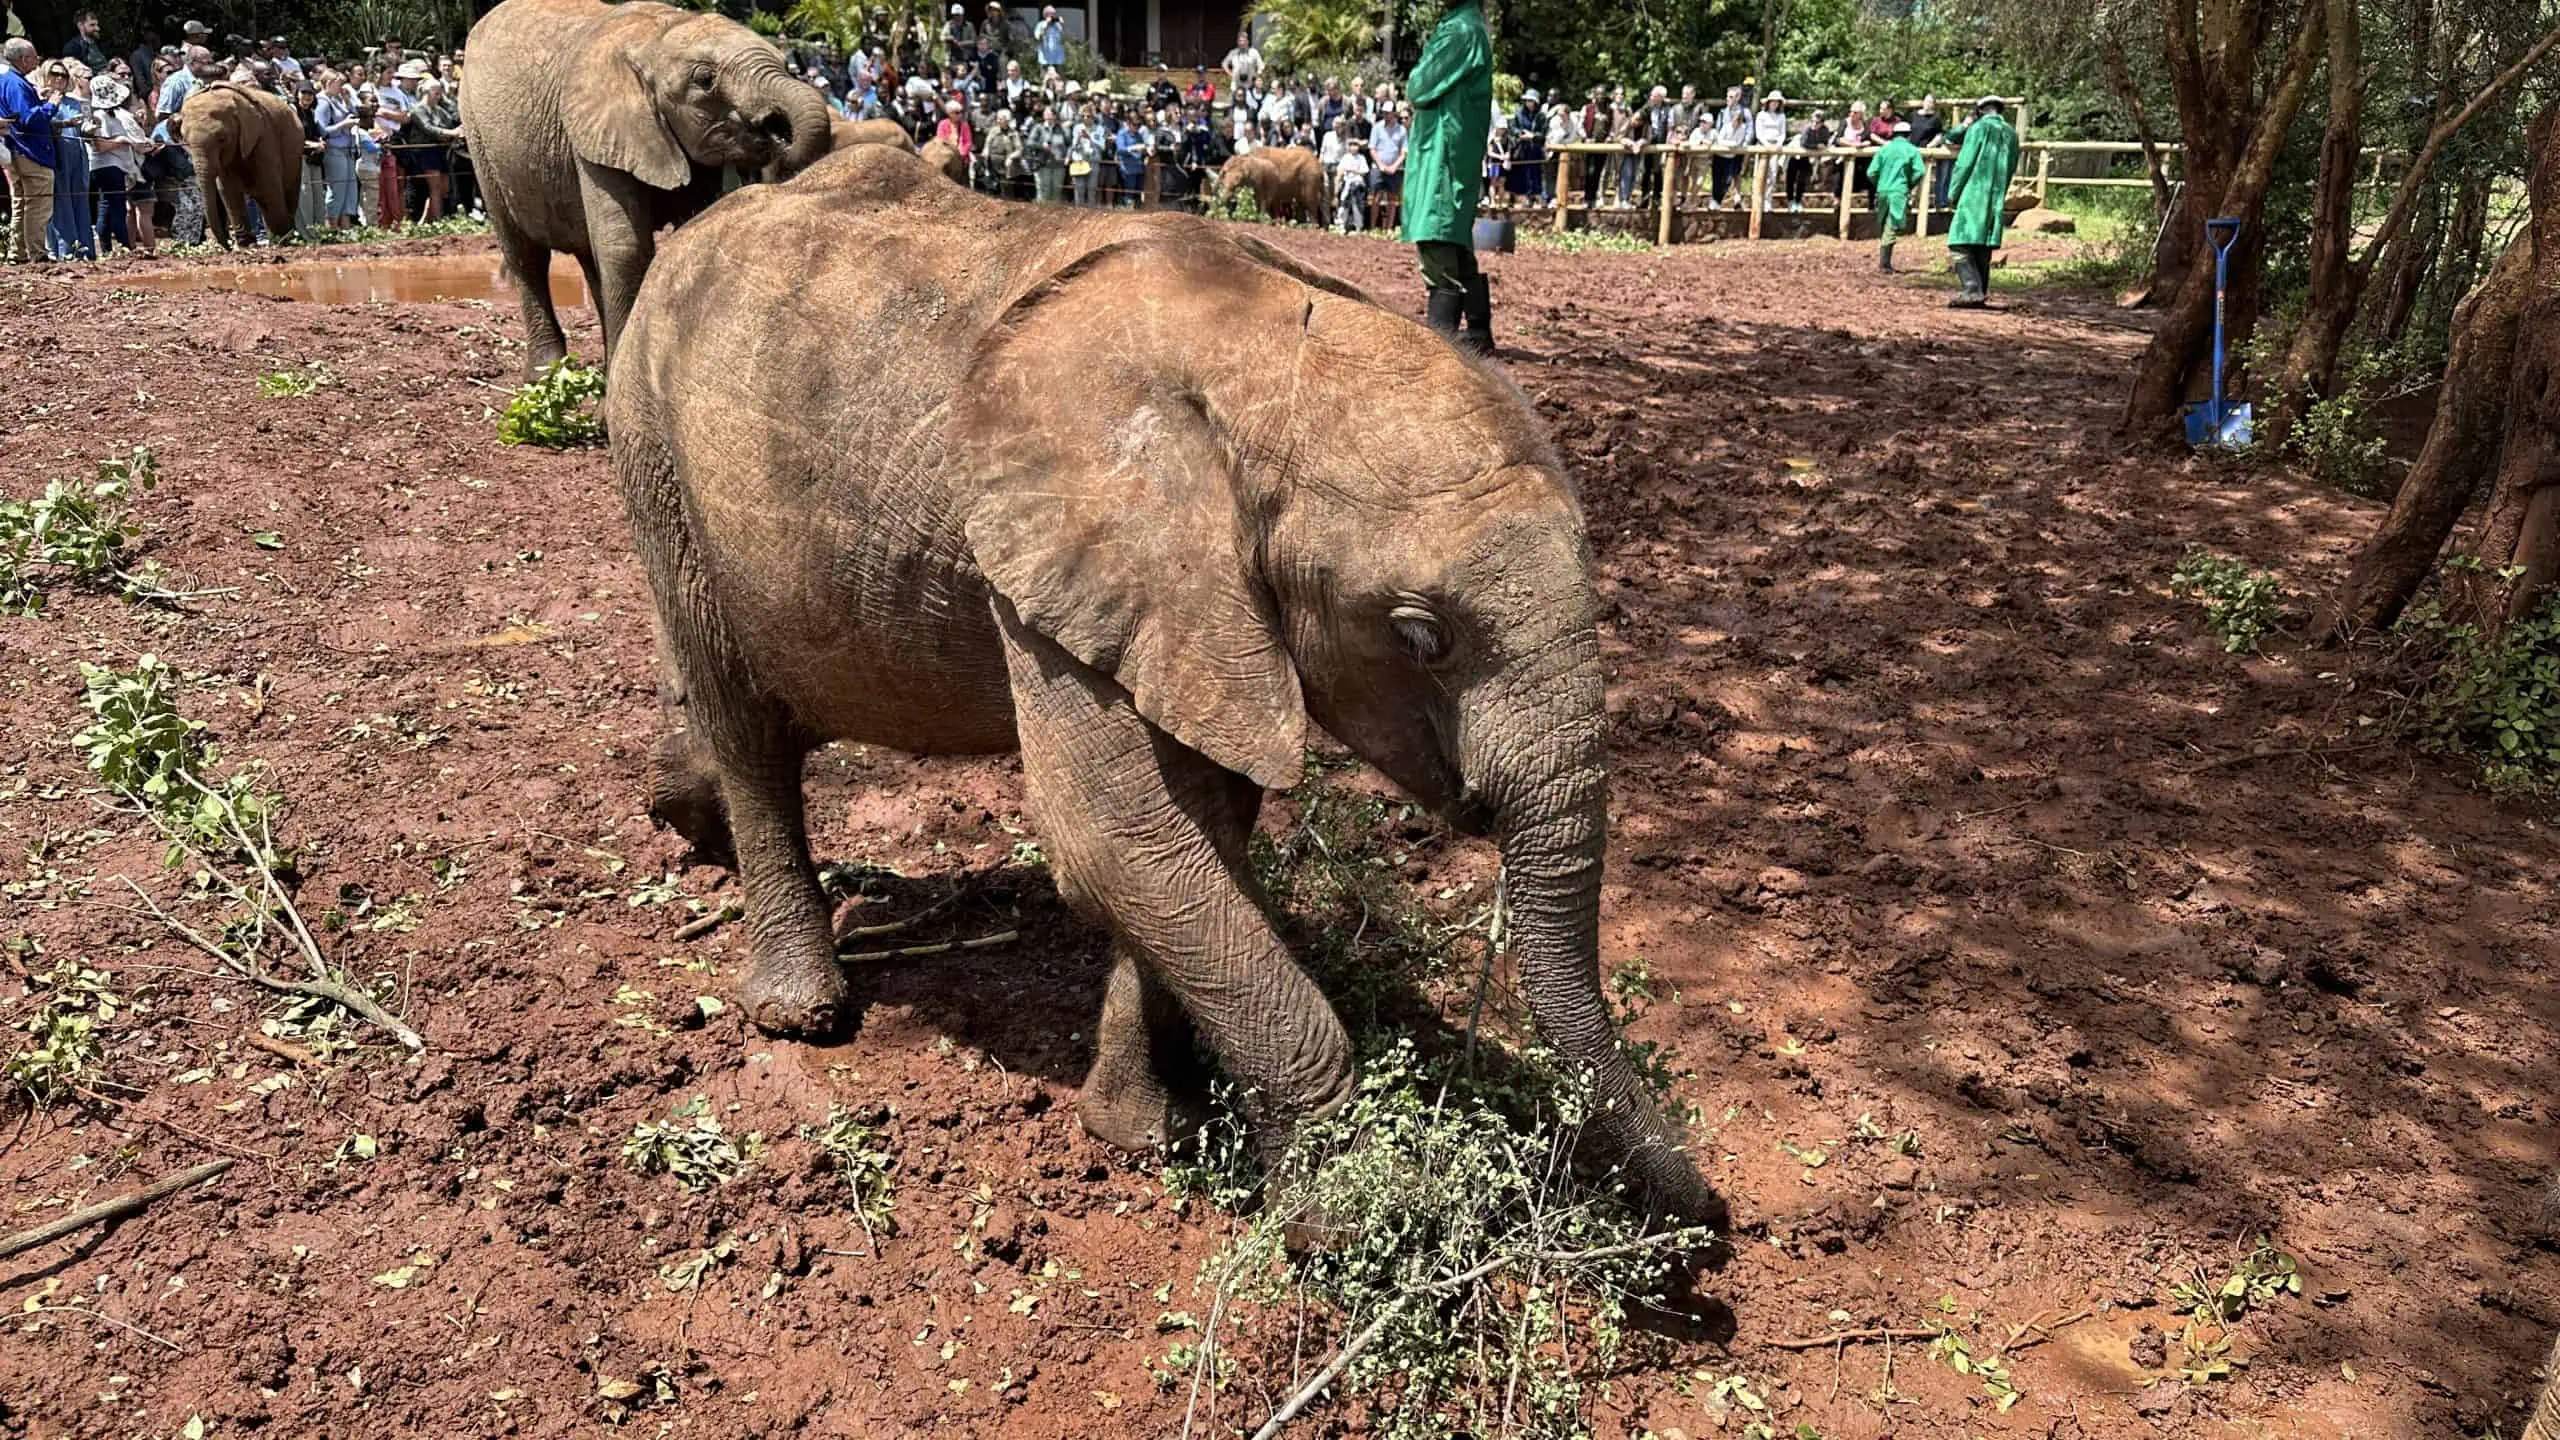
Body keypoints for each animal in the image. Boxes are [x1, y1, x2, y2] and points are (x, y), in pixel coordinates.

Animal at [177, 82, 301, 250]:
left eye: (222, 139)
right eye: (185, 141)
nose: (228, 246)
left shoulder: (264, 137)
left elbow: (269, 184)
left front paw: (282, 240)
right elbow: (228, 189)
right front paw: (246, 245)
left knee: (285, 192)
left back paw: (288, 236)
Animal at [456, 0, 831, 378]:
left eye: (787, 65)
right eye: (705, 80)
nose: (776, 130)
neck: (656, 36)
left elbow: (695, 225)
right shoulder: (599, 133)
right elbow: (626, 248)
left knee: (587, 256)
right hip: (479, 139)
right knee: (526, 256)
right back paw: (546, 376)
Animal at [607, 146, 1728, 1231]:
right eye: (1421, 637)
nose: (1712, 1216)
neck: (1262, 349)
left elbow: (1199, 829)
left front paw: (1144, 1137)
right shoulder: (1057, 560)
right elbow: (1116, 837)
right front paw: (1359, 1211)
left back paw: (684, 813)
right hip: (653, 453)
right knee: (747, 729)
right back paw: (799, 1008)